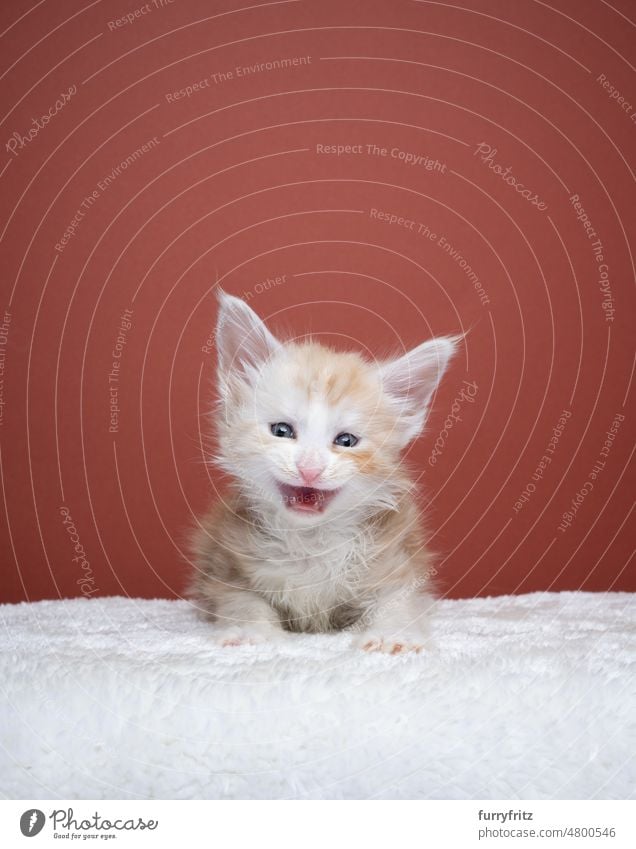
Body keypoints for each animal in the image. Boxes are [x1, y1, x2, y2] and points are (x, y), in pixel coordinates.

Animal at [189, 288, 458, 652]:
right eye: (282, 431)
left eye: (346, 440)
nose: (309, 469)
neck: (310, 541)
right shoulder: (225, 566)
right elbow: (242, 601)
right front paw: (250, 631)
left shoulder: (397, 563)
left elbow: (398, 603)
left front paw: (392, 635)